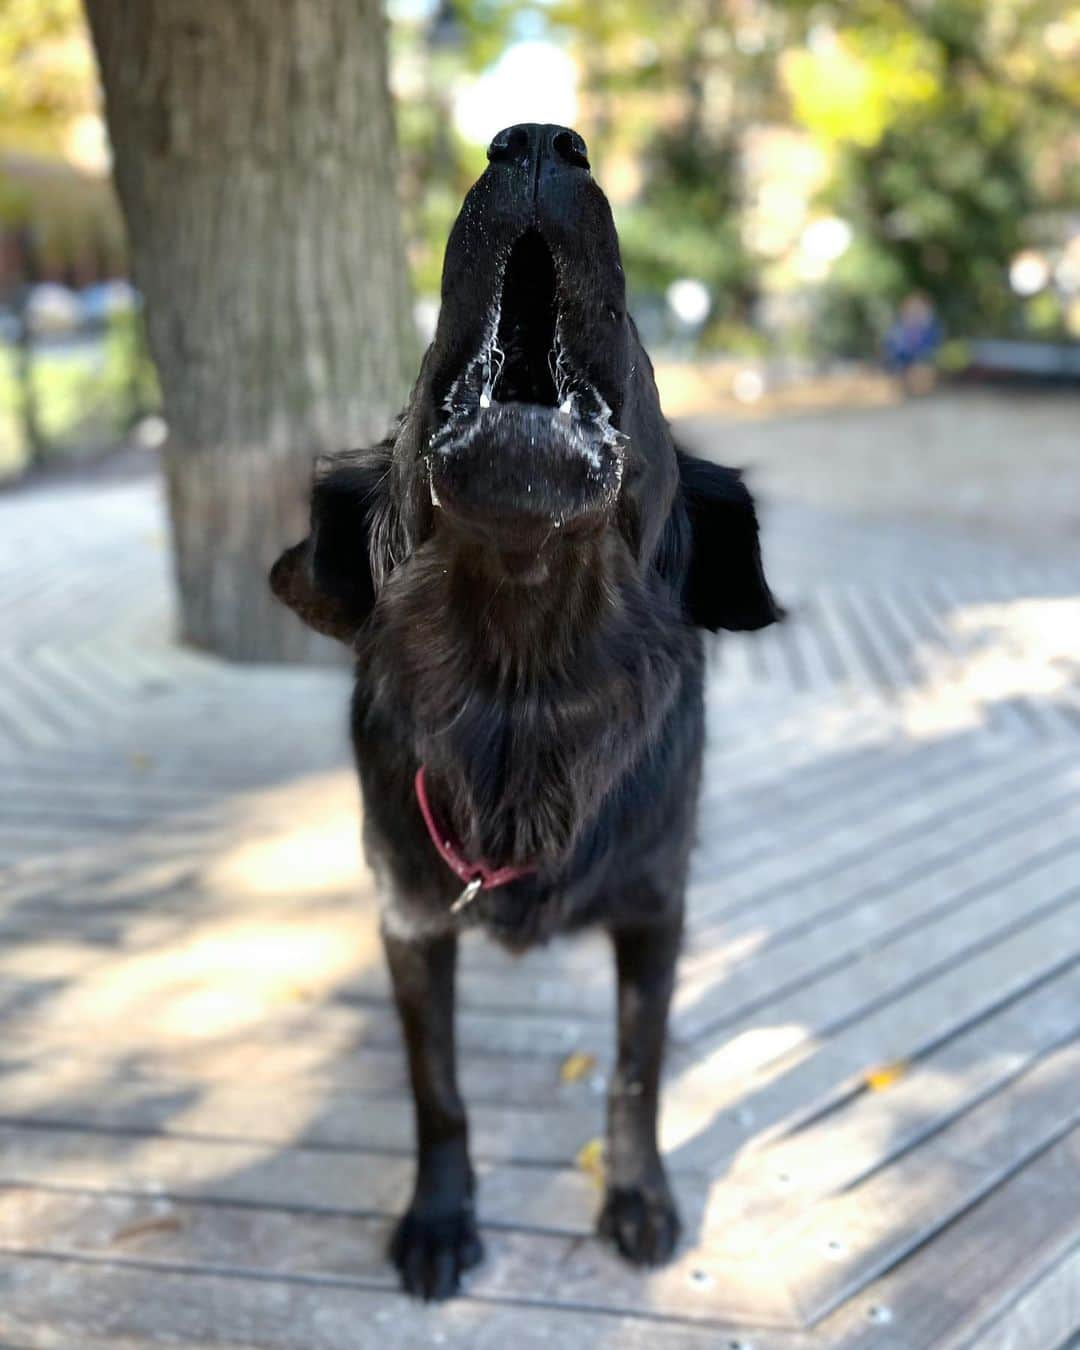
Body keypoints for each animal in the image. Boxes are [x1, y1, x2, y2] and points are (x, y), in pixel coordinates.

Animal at [268, 124, 777, 1296]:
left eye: (637, 334)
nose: (538, 138)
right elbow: (439, 1091)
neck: (524, 688)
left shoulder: (654, 910)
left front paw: (637, 1196)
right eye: (423, 363)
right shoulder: (413, 922)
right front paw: (440, 1216)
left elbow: (635, 1073)